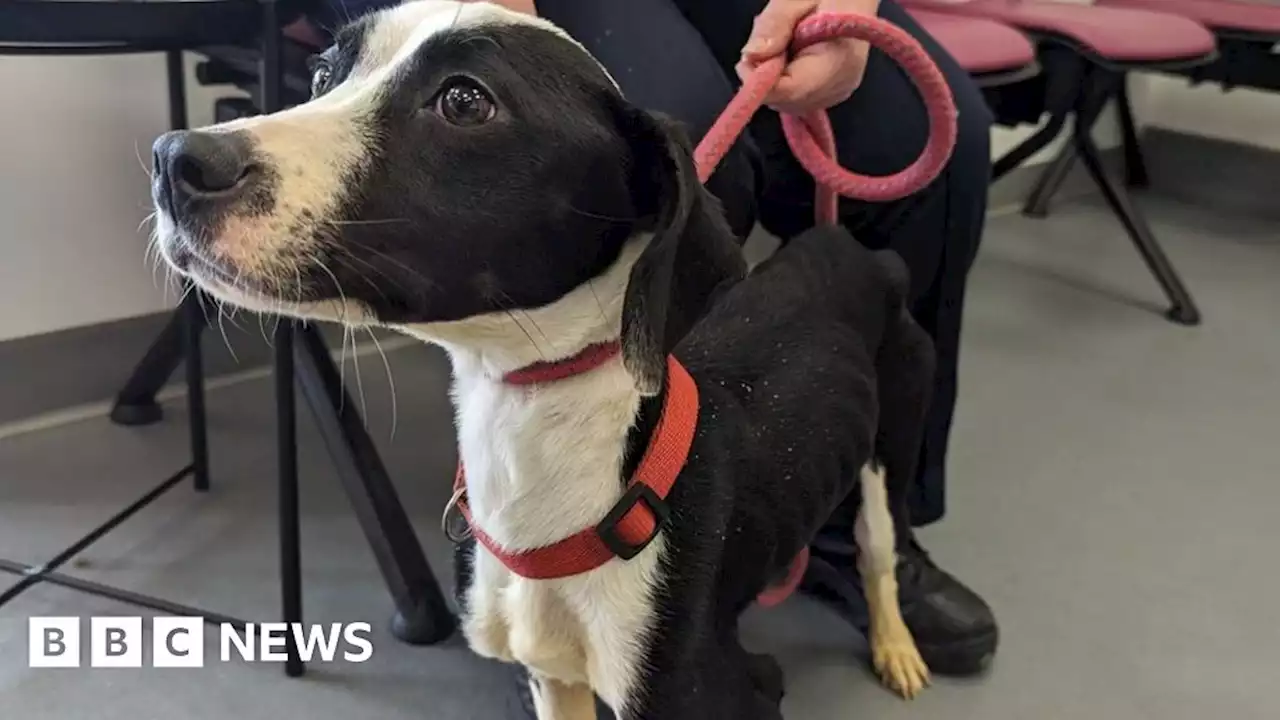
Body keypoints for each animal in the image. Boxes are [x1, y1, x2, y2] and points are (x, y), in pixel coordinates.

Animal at [154, 2, 942, 712]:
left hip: (890, 451)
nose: (174, 160)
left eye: (465, 100)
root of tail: (841, 244)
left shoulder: (725, 689)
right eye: (323, 74)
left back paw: (898, 645)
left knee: (879, 556)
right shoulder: (553, 677)